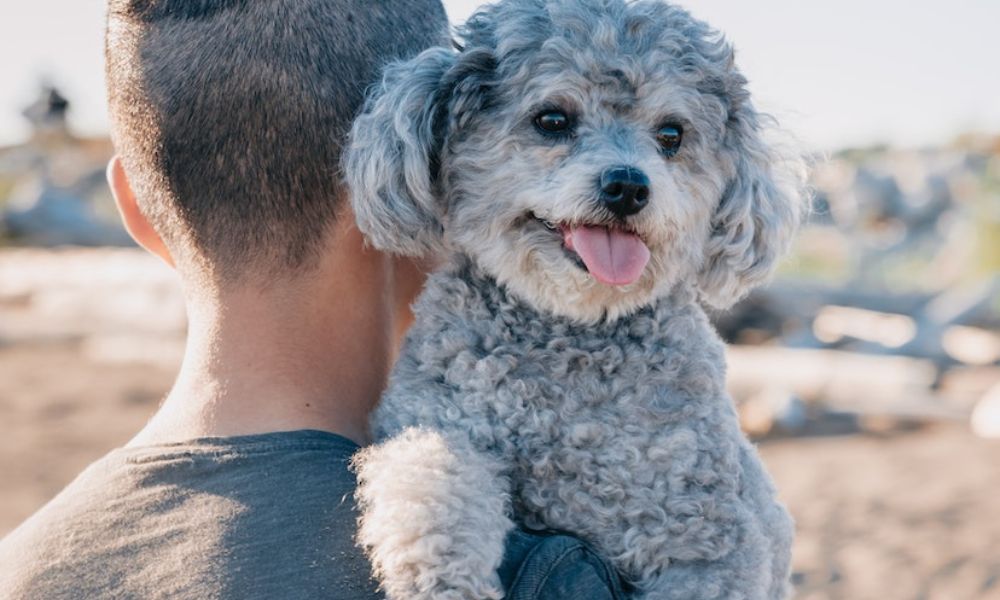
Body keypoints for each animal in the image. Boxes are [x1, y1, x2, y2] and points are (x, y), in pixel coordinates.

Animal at [344, 2, 804, 596]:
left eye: (672, 133)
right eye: (552, 120)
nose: (628, 185)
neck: (573, 331)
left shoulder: (712, 534)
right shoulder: (435, 416)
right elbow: (428, 481)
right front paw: (441, 578)